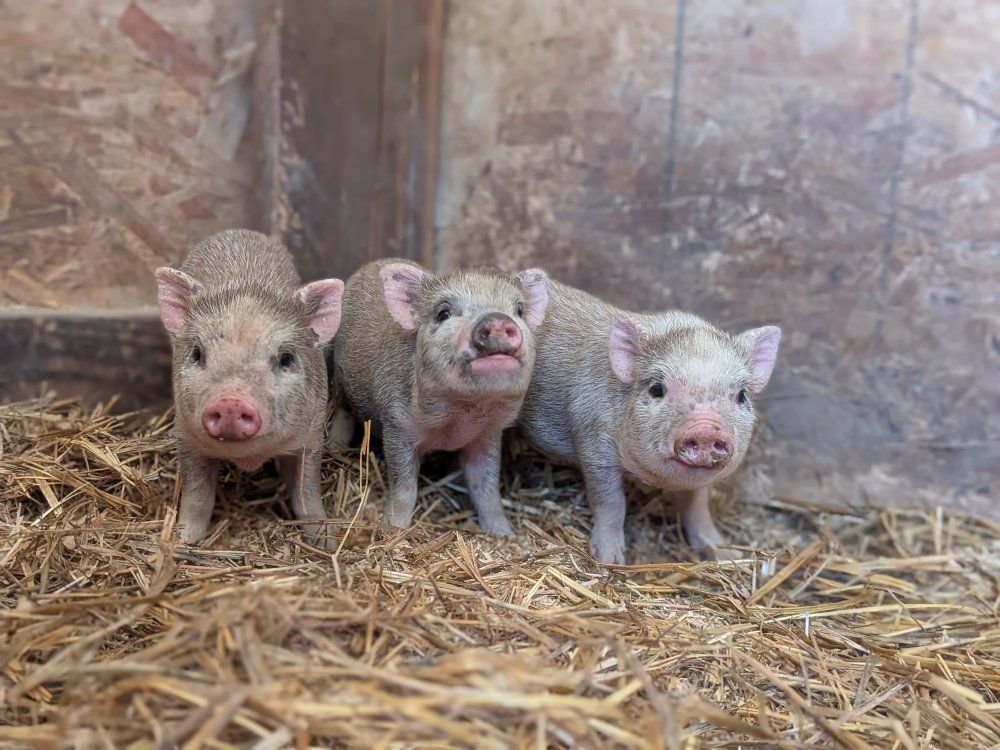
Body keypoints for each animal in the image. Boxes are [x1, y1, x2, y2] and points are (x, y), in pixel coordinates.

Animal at [154, 229, 344, 546]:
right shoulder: (187, 437)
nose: (231, 401)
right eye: (197, 353)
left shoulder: (312, 436)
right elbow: (197, 495)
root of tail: (237, 231)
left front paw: (326, 541)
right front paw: (182, 540)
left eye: (286, 358)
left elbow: (307, 493)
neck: (248, 459)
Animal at [330, 259, 549, 535]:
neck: (459, 418)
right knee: (342, 411)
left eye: (519, 310)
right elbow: (404, 486)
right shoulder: (396, 425)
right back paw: (335, 446)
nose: (497, 320)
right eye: (443, 313)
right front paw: (395, 528)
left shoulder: (488, 435)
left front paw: (506, 534)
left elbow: (486, 488)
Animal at [518, 281, 781, 564]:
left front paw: (726, 554)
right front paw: (609, 561)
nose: (706, 429)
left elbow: (698, 507)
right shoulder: (592, 443)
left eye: (741, 395)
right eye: (657, 389)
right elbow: (611, 501)